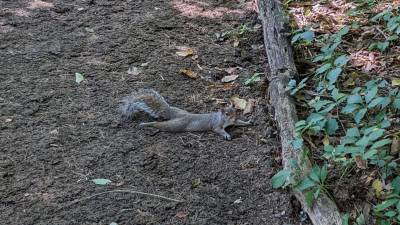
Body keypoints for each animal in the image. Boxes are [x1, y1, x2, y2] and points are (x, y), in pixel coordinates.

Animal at [117, 89, 252, 140]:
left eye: (236, 111)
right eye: (227, 113)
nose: (234, 117)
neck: (225, 120)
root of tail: (172, 114)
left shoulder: (234, 122)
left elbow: (240, 123)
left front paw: (249, 122)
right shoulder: (216, 124)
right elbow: (218, 130)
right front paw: (226, 135)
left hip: (179, 113)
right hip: (176, 125)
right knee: (160, 124)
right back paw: (146, 124)